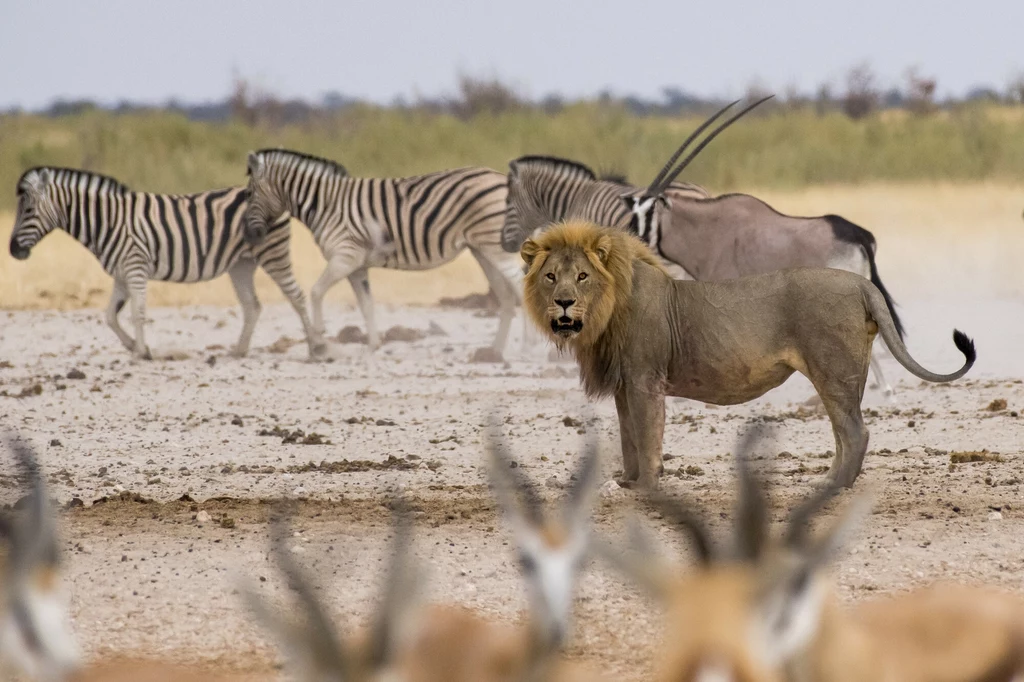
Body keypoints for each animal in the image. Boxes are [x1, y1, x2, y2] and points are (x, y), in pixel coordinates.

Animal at [9, 166, 321, 358]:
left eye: (28, 210)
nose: (12, 250)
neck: (107, 220)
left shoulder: (135, 266)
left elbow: (137, 313)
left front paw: (140, 353)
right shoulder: (121, 273)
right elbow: (110, 316)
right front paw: (136, 347)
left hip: (273, 253)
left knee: (296, 296)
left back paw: (316, 348)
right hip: (241, 264)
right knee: (252, 306)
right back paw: (238, 351)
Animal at [242, 150, 524, 356]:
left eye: (250, 193)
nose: (249, 234)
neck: (325, 205)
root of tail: (501, 178)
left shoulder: (345, 256)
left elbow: (316, 291)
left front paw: (320, 340)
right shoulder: (357, 266)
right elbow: (367, 304)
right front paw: (373, 346)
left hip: (496, 248)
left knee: (520, 286)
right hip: (482, 250)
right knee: (506, 296)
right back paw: (494, 352)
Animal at [524, 220, 978, 485]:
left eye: (582, 276)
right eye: (551, 277)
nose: (563, 303)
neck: (607, 311)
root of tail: (860, 283)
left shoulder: (644, 381)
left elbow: (648, 435)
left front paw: (649, 486)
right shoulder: (623, 386)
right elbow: (628, 437)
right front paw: (628, 482)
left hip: (833, 371)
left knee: (855, 431)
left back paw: (834, 485)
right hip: (835, 377)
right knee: (844, 431)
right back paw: (831, 478)